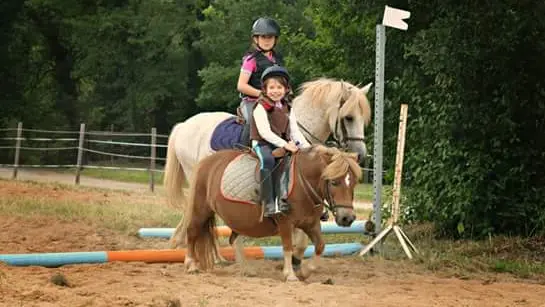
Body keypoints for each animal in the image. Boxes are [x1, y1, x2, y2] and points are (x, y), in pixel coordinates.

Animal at [174, 146, 362, 282]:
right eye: (334, 182)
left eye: (354, 183)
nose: (347, 218)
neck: (302, 183)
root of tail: (207, 161)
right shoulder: (286, 223)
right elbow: (287, 246)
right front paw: (290, 274)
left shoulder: (311, 224)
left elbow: (320, 246)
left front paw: (305, 271)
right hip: (201, 210)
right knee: (192, 232)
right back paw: (191, 265)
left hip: (237, 220)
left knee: (233, 240)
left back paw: (247, 270)